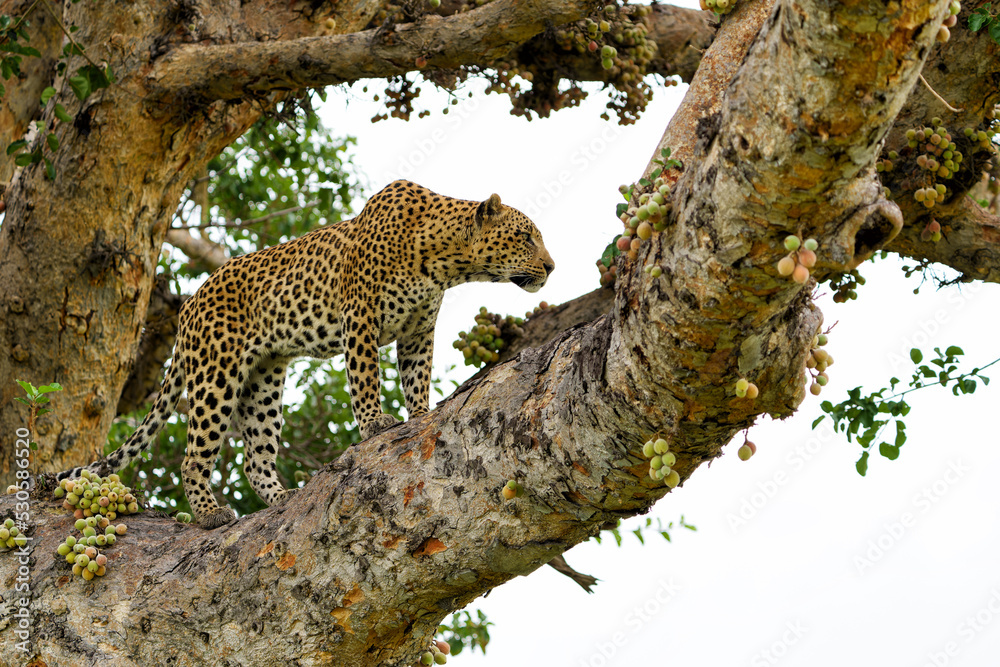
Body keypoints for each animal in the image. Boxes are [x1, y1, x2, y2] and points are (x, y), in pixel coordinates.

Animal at [58, 180, 555, 529]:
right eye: (526, 237)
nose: (552, 267)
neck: (445, 261)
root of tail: (189, 305)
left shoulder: (418, 330)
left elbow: (416, 378)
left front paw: (420, 415)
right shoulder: (360, 316)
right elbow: (365, 377)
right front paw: (375, 423)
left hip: (263, 380)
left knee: (255, 458)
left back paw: (285, 499)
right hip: (215, 373)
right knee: (195, 453)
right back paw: (210, 514)